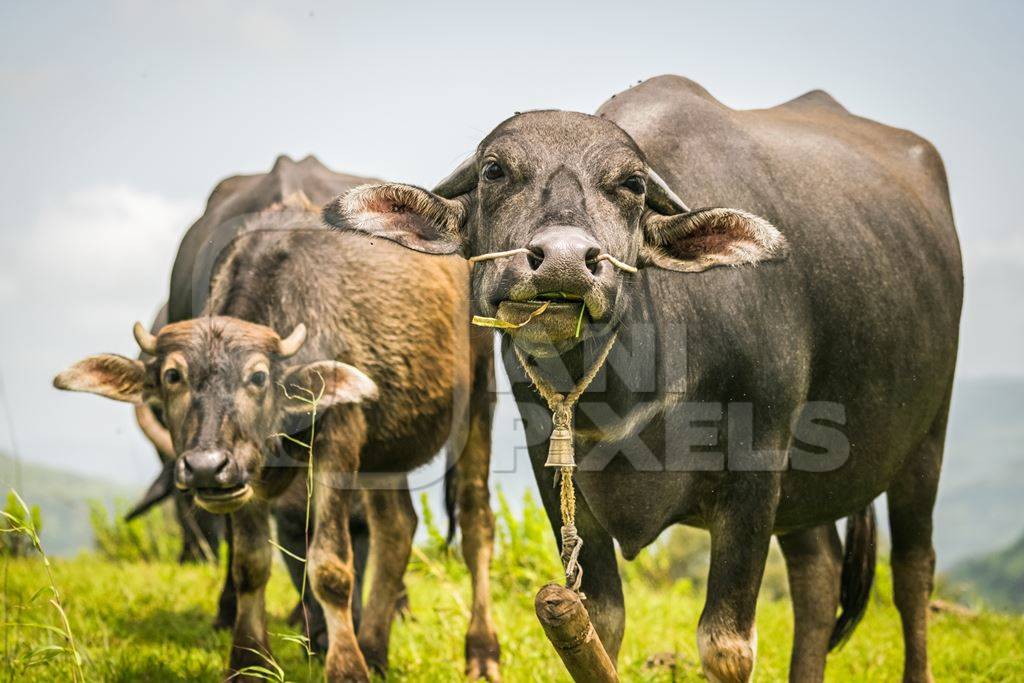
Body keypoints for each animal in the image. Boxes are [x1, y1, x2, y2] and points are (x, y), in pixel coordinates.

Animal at [325, 76, 958, 683]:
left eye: (630, 183)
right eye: (494, 170)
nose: (565, 260)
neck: (635, 393)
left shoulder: (755, 471)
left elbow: (726, 646)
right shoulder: (555, 471)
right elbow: (599, 623)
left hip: (927, 438)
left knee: (913, 573)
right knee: (818, 572)